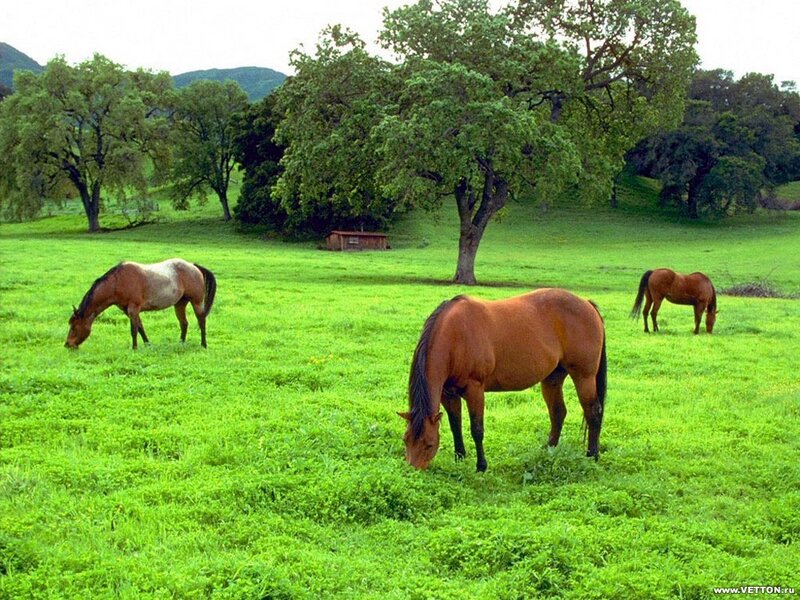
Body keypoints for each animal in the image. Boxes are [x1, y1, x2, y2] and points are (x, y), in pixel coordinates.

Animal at [65, 258, 217, 350]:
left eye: (74, 327)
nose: (67, 344)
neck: (118, 282)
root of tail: (194, 266)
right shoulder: (129, 310)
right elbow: (140, 327)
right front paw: (147, 344)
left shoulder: (133, 308)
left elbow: (134, 330)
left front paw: (134, 348)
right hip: (180, 303)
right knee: (184, 323)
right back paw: (181, 343)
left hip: (196, 301)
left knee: (201, 321)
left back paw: (204, 344)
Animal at [399, 288, 607, 472]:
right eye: (405, 440)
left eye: (428, 444)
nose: (412, 471)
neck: (456, 336)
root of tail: (587, 304)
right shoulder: (448, 393)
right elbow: (455, 425)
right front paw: (460, 458)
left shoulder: (475, 390)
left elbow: (477, 429)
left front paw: (481, 466)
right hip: (552, 378)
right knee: (558, 413)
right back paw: (549, 450)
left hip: (584, 376)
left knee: (593, 412)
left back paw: (592, 456)